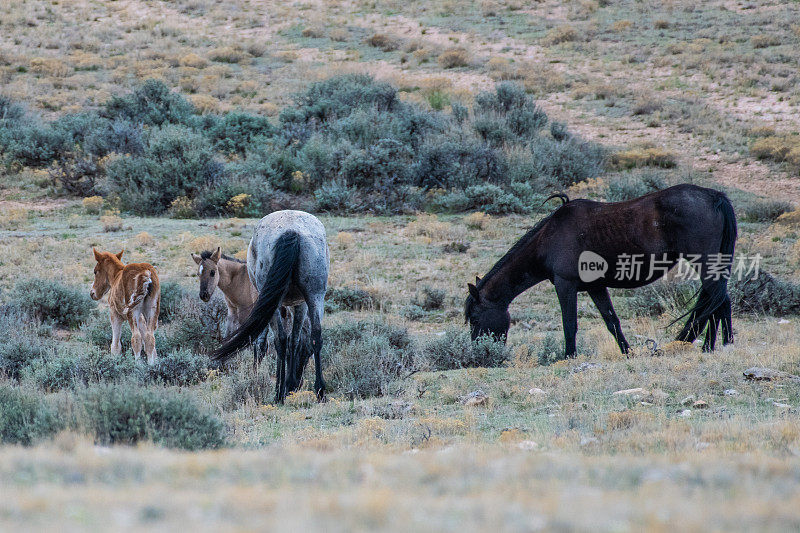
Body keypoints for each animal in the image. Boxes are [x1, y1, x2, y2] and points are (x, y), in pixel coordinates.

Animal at [212, 210, 328, 402]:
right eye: (306, 355)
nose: (298, 383)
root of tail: (291, 230)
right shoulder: (300, 304)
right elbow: (295, 340)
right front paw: (290, 384)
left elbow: (284, 341)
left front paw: (285, 386)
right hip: (315, 295)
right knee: (316, 335)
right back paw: (319, 390)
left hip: (277, 304)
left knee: (280, 340)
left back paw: (278, 393)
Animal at [468, 184, 736, 358]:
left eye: (474, 318)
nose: (480, 354)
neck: (549, 239)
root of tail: (715, 197)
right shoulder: (595, 287)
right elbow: (611, 321)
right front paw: (627, 353)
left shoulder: (565, 285)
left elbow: (569, 323)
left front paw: (568, 356)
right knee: (719, 300)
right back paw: (721, 344)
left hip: (705, 264)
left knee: (717, 300)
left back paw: (711, 347)